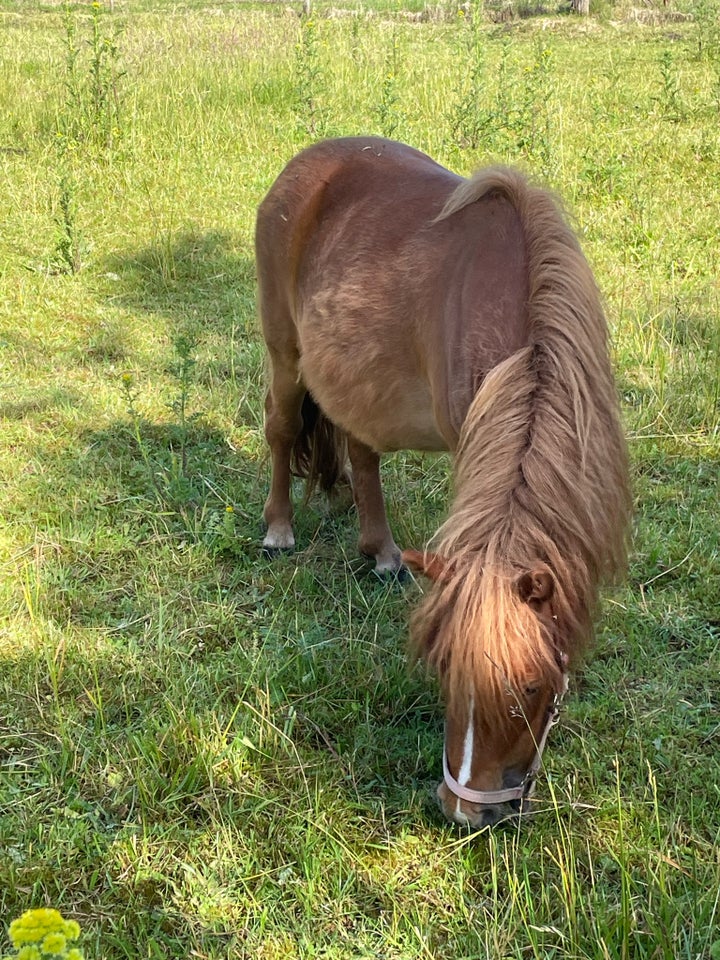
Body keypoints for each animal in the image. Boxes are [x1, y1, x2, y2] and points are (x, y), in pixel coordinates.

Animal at [255, 139, 632, 828]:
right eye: (445, 671)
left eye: (530, 687)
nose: (463, 812)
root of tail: (300, 168)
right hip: (286, 352)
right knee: (280, 426)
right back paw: (278, 529)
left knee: (361, 450)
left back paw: (381, 552)